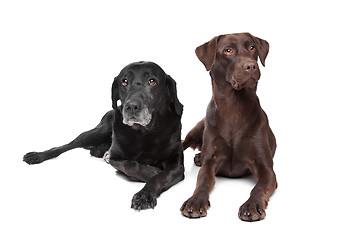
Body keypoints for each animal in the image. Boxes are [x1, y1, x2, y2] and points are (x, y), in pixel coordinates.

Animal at [23, 62, 184, 210]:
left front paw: (144, 195)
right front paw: (150, 171)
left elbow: (159, 177)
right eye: (124, 81)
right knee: (66, 146)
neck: (144, 133)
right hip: (97, 132)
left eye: (152, 81)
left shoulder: (176, 166)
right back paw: (37, 155)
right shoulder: (114, 158)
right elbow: (129, 165)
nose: (131, 107)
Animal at [181, 32, 278, 221]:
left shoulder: (266, 169)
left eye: (252, 47)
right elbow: (203, 180)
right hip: (198, 128)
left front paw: (252, 205)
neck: (234, 108)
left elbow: (259, 187)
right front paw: (195, 201)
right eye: (228, 50)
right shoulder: (210, 162)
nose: (251, 66)